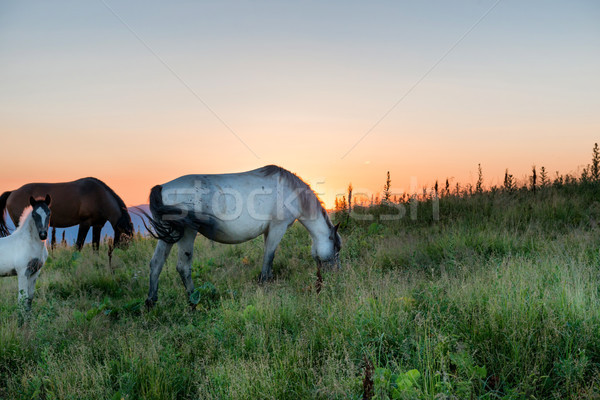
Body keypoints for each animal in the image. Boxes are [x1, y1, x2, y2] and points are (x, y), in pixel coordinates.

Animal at [0, 178, 132, 250]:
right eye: (126, 237)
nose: (127, 251)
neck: (98, 195)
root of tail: (13, 192)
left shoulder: (97, 225)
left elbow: (95, 246)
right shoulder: (85, 223)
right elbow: (79, 245)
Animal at [138, 164, 340, 308]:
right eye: (337, 249)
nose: (335, 276)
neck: (291, 191)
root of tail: (162, 187)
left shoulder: (269, 231)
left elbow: (268, 256)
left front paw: (267, 279)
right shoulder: (278, 228)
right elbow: (269, 256)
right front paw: (264, 283)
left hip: (169, 235)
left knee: (156, 264)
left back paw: (151, 302)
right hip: (187, 233)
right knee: (183, 267)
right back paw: (193, 301)